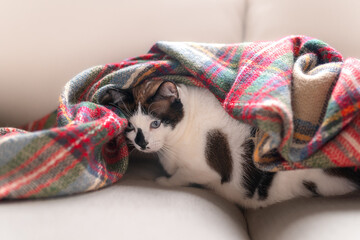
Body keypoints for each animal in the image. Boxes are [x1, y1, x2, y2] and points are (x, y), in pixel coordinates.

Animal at [100, 80, 360, 208]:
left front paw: (163, 181)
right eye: (131, 127)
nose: (142, 144)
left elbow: (180, 176)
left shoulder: (207, 170)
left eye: (155, 123)